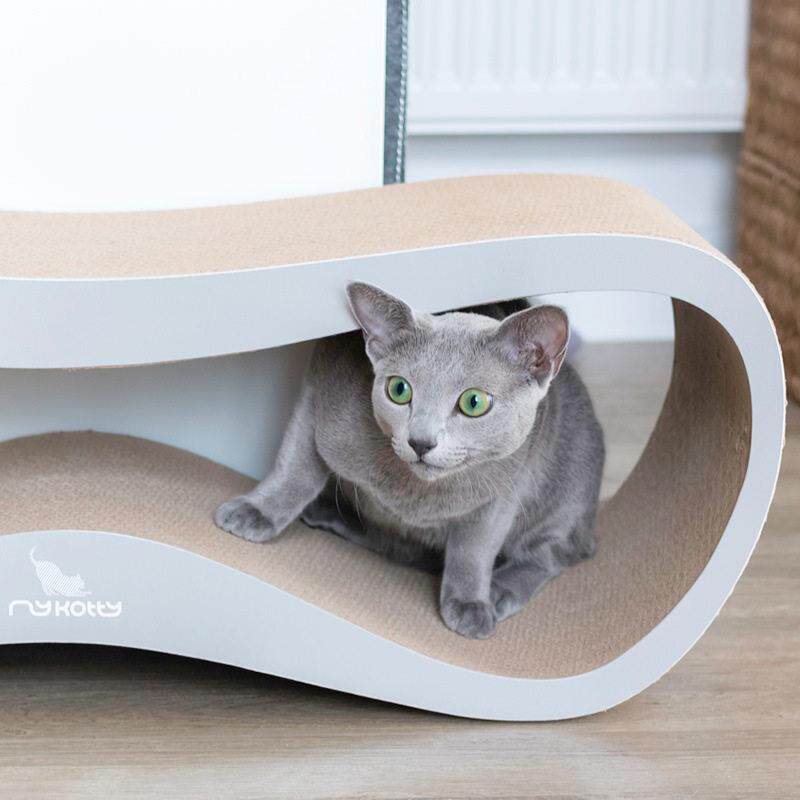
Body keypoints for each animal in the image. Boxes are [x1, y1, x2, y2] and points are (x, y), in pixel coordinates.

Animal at [215, 283, 605, 639]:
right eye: (399, 390)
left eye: (474, 402)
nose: (420, 441)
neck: (415, 493)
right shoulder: (321, 384)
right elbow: (296, 466)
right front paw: (257, 512)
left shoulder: (508, 484)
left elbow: (475, 547)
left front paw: (470, 603)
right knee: (396, 544)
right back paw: (330, 515)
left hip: (566, 488)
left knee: (550, 556)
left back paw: (498, 590)